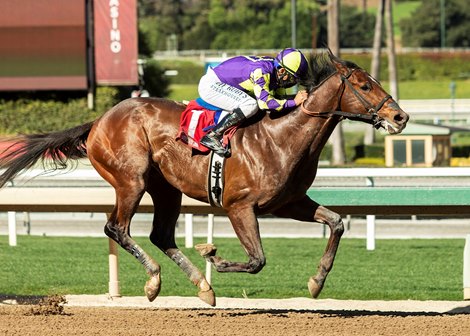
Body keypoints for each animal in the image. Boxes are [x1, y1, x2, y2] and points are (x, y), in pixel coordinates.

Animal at [0, 51, 408, 306]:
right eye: (365, 85)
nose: (400, 117)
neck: (283, 137)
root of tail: (99, 120)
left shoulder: (290, 202)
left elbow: (337, 223)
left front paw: (316, 282)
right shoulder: (240, 206)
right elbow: (257, 259)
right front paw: (215, 255)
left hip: (166, 189)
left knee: (160, 235)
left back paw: (202, 287)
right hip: (131, 181)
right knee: (116, 228)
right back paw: (155, 281)